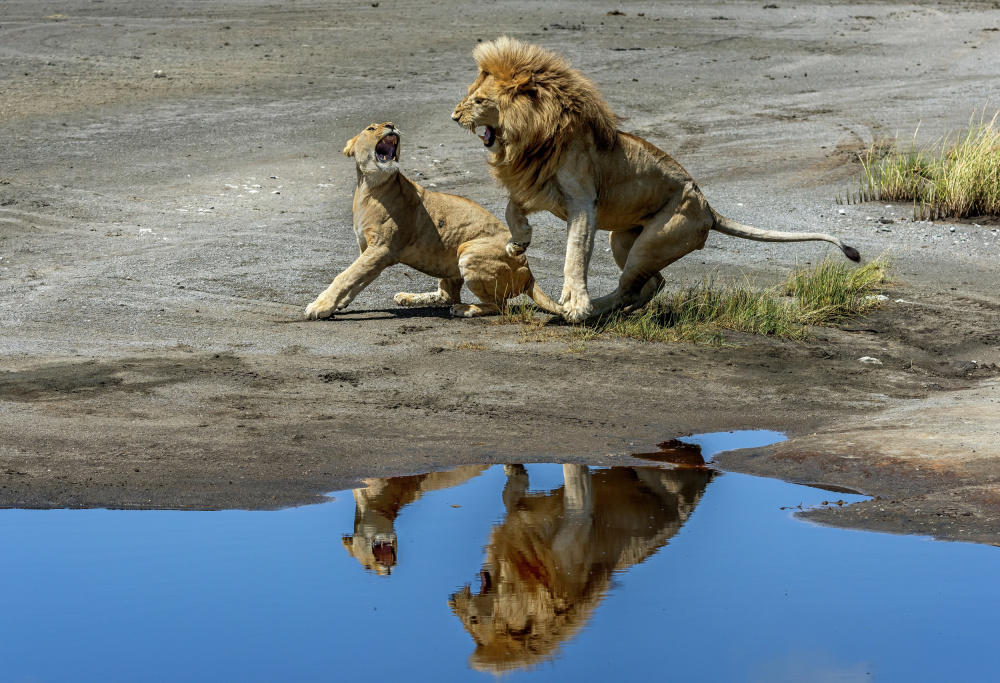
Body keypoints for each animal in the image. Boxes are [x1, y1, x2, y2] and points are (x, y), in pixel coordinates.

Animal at [302, 123, 564, 320]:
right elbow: (356, 279)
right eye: (371, 128)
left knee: (500, 306)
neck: (370, 187)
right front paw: (338, 304)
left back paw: (464, 309)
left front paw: (319, 306)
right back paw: (408, 297)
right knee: (447, 295)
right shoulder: (369, 249)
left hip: (468, 250)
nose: (391, 125)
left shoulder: (382, 249)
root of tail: (529, 272)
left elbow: (345, 276)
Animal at [454, 36, 860, 324]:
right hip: (624, 240)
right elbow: (511, 207)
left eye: (479, 100)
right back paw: (608, 310)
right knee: (650, 283)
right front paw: (517, 244)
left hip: (654, 241)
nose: (454, 116)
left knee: (631, 285)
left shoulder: (582, 201)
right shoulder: (537, 185)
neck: (528, 135)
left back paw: (586, 311)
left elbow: (575, 253)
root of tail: (709, 209)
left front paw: (575, 301)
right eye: (470, 96)